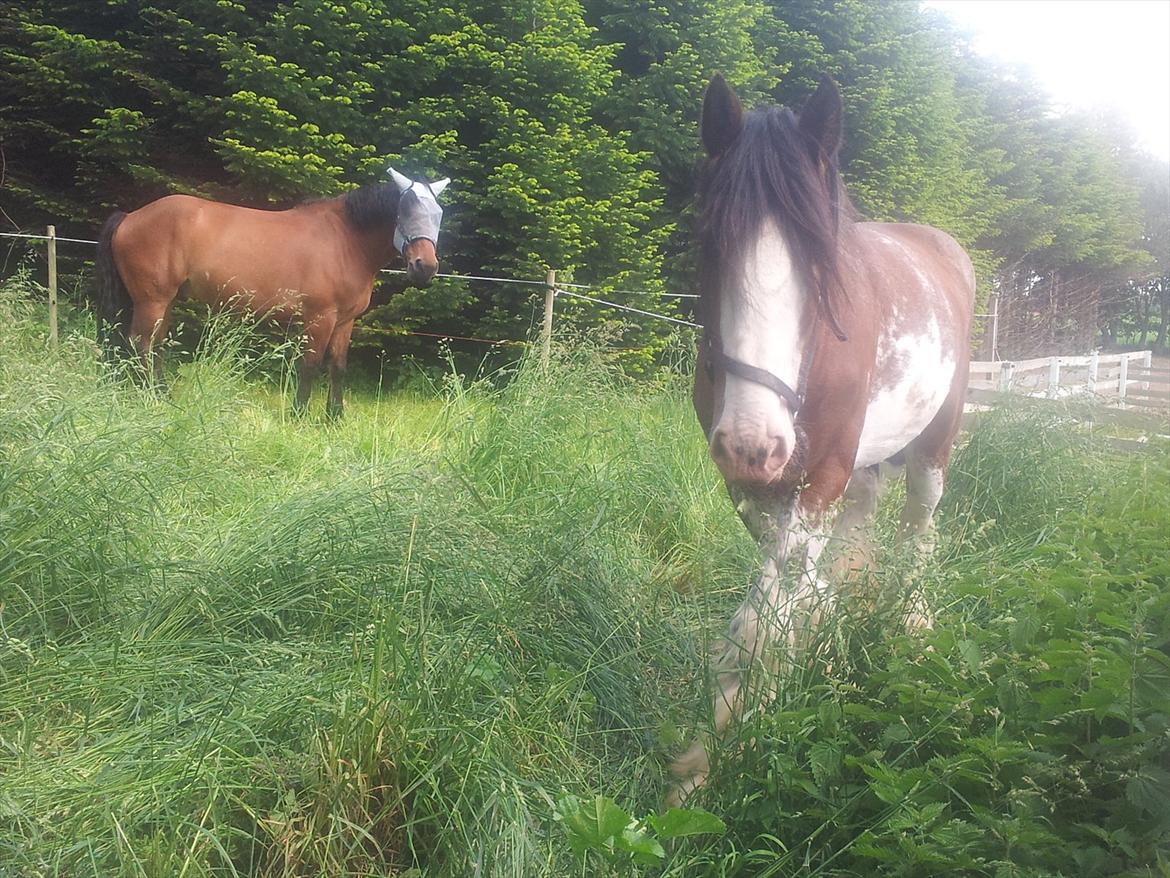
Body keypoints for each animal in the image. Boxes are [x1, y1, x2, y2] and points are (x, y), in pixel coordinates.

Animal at [93, 172, 449, 419]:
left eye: (439, 213)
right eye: (405, 211)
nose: (425, 267)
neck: (345, 240)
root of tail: (130, 216)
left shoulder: (345, 321)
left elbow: (338, 366)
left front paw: (334, 417)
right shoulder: (320, 318)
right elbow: (310, 365)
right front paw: (299, 414)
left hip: (165, 302)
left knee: (155, 347)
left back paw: (164, 397)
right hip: (152, 300)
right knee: (141, 344)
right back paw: (151, 398)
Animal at [669, 75, 978, 805]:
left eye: (822, 262)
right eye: (709, 243)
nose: (752, 442)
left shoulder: (821, 472)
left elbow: (772, 601)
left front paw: (719, 749)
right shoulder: (756, 486)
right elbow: (784, 586)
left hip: (931, 449)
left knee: (918, 529)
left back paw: (913, 625)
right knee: (858, 527)